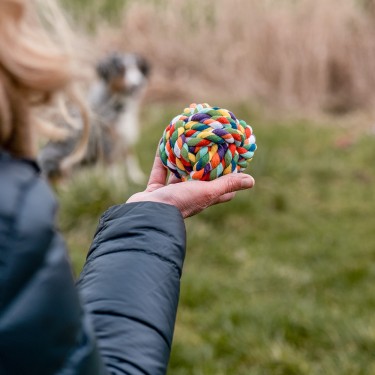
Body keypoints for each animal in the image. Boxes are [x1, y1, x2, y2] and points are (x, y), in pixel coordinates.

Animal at [38, 53, 150, 185]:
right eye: (121, 70)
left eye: (137, 68)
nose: (139, 84)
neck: (116, 103)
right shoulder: (107, 143)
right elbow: (114, 169)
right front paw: (119, 185)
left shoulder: (123, 137)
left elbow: (131, 158)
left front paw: (136, 177)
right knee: (58, 180)